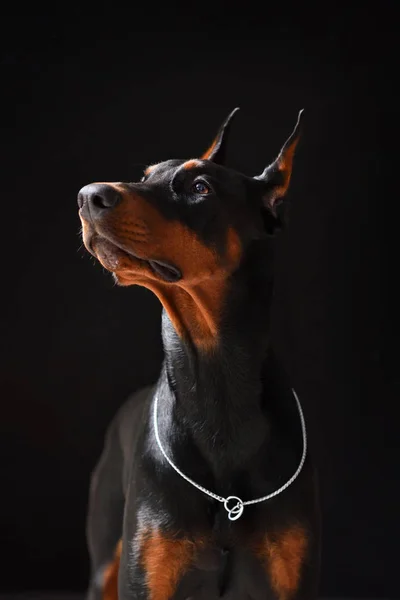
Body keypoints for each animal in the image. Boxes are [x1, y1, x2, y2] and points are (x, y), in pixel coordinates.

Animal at [78, 109, 322, 600]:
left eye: (200, 187)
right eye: (146, 176)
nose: (87, 196)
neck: (213, 381)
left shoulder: (292, 578)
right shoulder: (148, 577)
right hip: (105, 563)